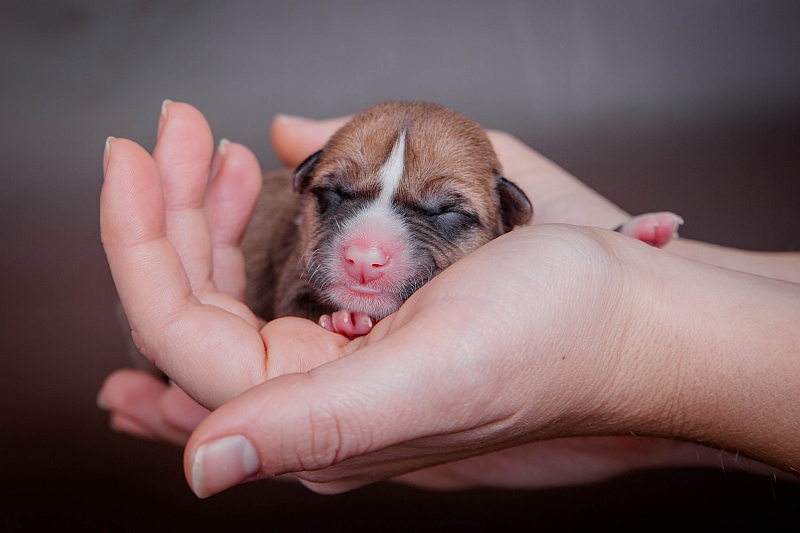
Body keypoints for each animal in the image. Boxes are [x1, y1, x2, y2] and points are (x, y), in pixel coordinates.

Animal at [244, 101, 680, 336]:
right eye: (333, 193)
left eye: (446, 211)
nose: (364, 258)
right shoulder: (290, 280)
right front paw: (344, 319)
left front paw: (640, 231)